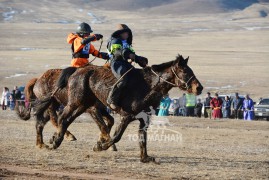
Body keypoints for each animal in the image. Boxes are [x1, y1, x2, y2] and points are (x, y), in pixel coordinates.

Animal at [36, 54, 203, 162]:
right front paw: (100, 146)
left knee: (64, 120)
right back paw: (55, 141)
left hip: (83, 105)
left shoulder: (144, 119)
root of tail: (77, 71)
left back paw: (54, 140)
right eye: (185, 71)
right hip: (75, 103)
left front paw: (145, 158)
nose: (199, 88)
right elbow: (116, 135)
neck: (148, 85)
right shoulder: (126, 116)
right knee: (62, 118)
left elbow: (142, 137)